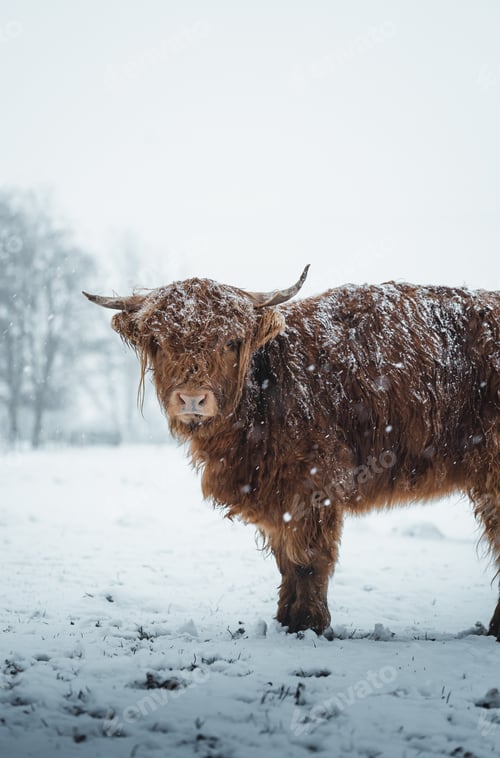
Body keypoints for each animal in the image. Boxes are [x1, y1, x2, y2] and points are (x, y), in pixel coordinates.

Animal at [84, 267, 500, 640]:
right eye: (159, 341)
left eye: (230, 341)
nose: (192, 398)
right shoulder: (276, 495)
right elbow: (286, 560)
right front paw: (286, 620)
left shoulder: (313, 484)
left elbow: (309, 559)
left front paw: (308, 624)